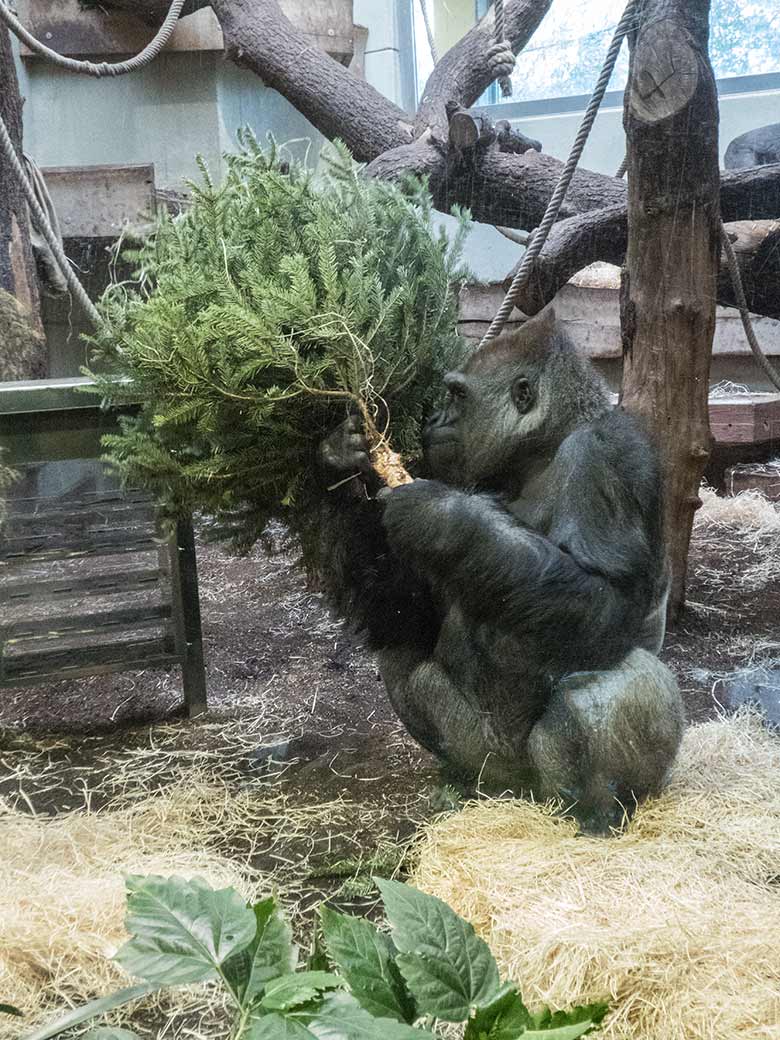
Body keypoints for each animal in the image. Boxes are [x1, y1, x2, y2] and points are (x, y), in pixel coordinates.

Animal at [318, 303, 682, 832]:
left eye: (456, 395)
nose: (433, 417)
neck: (540, 452)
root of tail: (522, 795)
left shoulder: (609, 451)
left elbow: (606, 601)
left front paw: (443, 516)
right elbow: (404, 614)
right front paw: (342, 461)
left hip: (560, 785)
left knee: (602, 689)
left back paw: (598, 813)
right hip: (496, 766)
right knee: (401, 656)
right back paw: (462, 782)